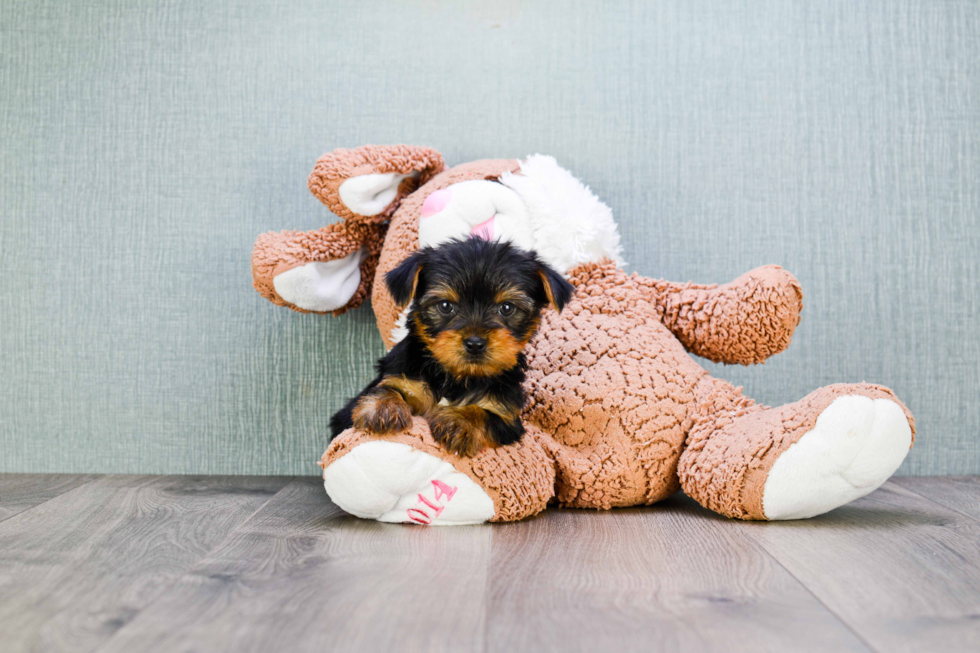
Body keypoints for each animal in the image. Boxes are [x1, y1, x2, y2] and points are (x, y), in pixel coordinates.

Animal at [332, 237, 576, 456]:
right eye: (445, 306)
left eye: (507, 308)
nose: (475, 343)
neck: (456, 375)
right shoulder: (400, 378)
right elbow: (386, 388)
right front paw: (384, 408)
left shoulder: (506, 415)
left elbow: (484, 413)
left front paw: (460, 422)